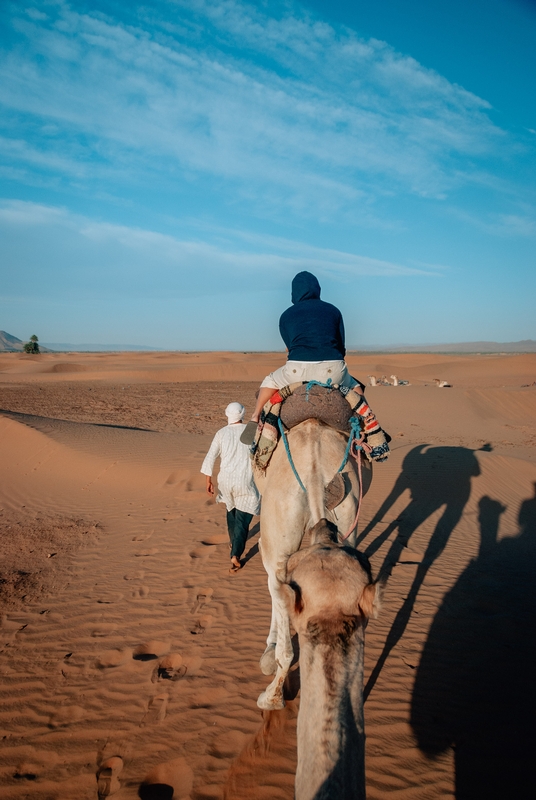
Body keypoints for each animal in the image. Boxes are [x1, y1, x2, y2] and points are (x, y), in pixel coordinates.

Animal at [255, 416, 372, 708]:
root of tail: (315, 473)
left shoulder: (270, 547)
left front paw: (268, 650)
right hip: (348, 510)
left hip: (280, 515)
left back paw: (271, 697)